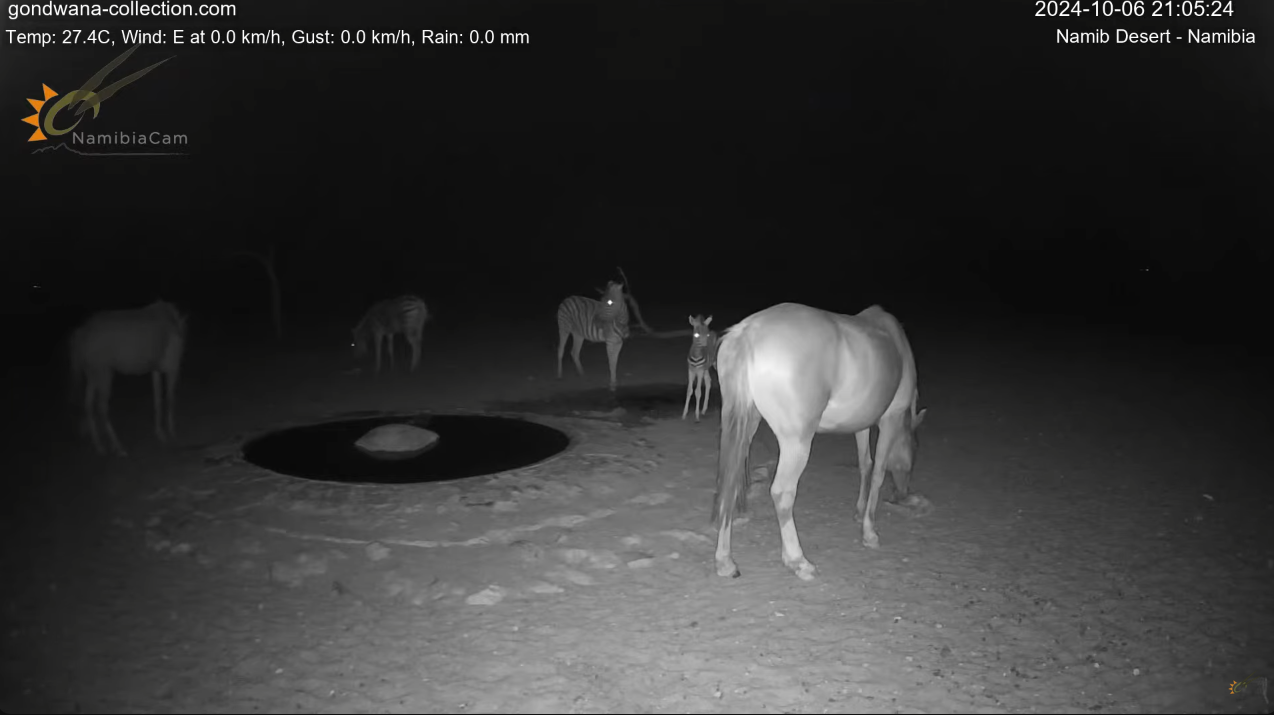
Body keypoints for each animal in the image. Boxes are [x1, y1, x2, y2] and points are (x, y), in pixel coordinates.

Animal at [68, 300, 188, 456]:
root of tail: (80, 334)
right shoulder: (172, 367)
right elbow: (170, 399)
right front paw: (172, 433)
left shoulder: (156, 369)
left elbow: (158, 400)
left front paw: (160, 434)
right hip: (104, 372)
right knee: (101, 408)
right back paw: (119, 447)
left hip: (92, 374)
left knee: (88, 404)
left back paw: (100, 447)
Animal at [713, 303, 926, 580]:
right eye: (914, 449)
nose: (902, 493)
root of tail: (748, 331)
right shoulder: (890, 418)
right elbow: (879, 471)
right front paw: (869, 531)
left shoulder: (862, 423)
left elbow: (865, 464)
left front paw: (859, 512)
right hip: (796, 443)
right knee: (782, 493)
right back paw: (797, 560)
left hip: (745, 424)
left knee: (730, 483)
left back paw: (725, 561)